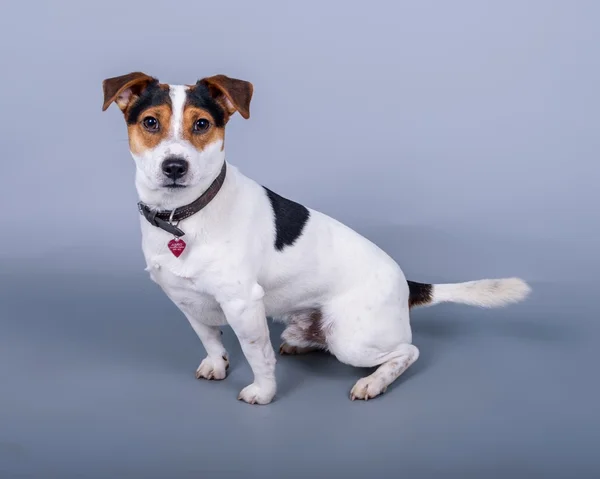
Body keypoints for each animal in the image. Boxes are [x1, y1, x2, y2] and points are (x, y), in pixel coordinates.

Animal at [102, 72, 528, 404]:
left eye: (202, 124)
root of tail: (406, 283)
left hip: (351, 338)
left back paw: (373, 382)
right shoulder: (185, 298)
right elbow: (209, 337)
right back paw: (302, 342)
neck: (183, 217)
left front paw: (263, 393)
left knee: (408, 351)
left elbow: (258, 356)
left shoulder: (243, 304)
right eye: (151, 122)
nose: (174, 166)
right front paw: (216, 363)